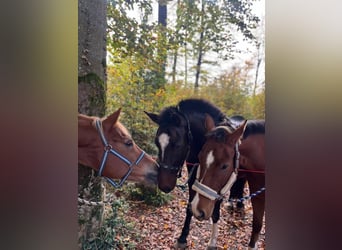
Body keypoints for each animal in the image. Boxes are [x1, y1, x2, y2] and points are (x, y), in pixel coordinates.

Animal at [146, 98, 266, 249]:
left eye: (177, 144)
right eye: (157, 143)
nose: (164, 185)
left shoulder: (218, 186)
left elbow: (215, 213)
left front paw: (212, 242)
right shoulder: (196, 180)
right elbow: (190, 206)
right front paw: (182, 238)